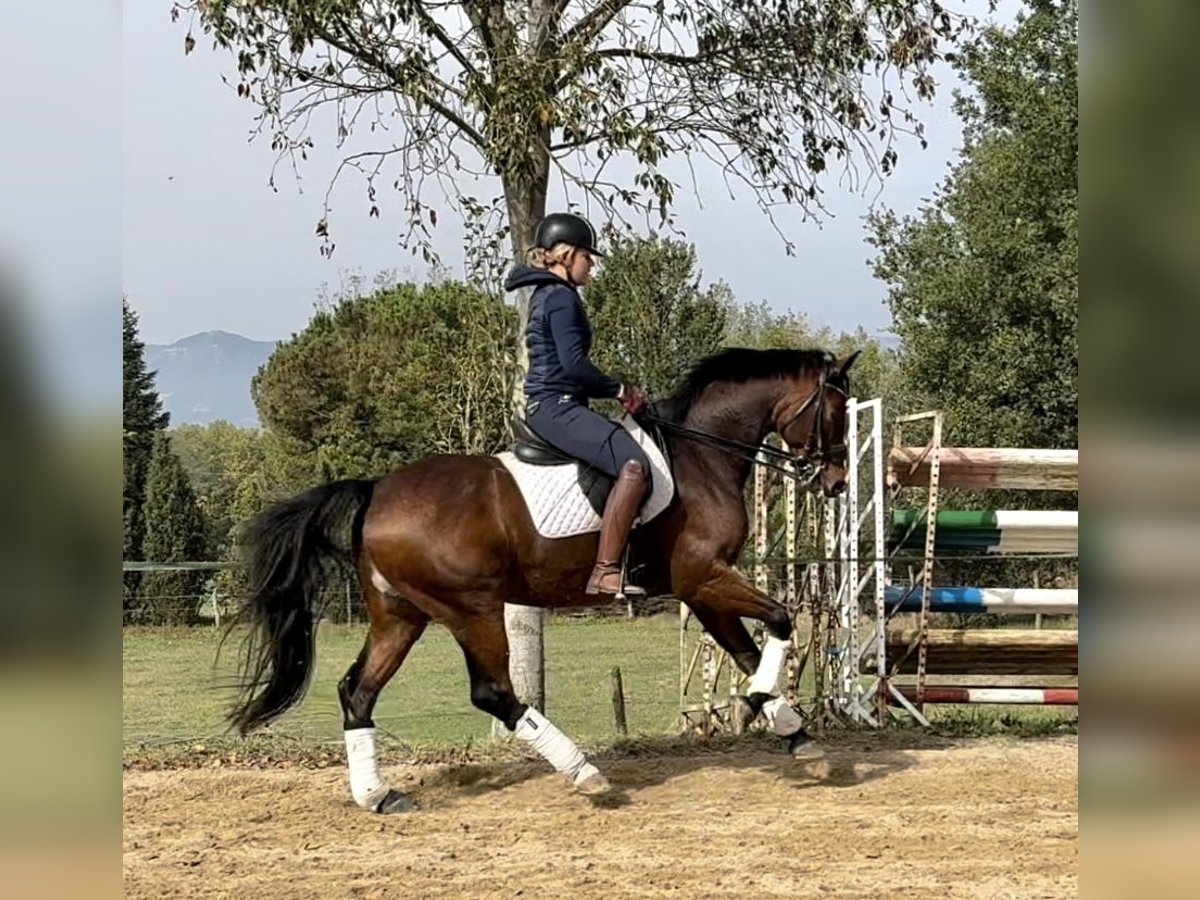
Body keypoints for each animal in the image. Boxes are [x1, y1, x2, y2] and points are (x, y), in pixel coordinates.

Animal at [226, 343, 864, 811]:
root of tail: (378, 489)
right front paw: (761, 704)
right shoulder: (705, 576)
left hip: (401, 615)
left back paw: (378, 796)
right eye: (835, 412)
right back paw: (585, 772)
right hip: (472, 609)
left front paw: (789, 727)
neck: (700, 456)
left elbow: (745, 647)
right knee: (493, 693)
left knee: (358, 691)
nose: (835, 482)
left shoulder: (701, 587)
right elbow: (779, 619)